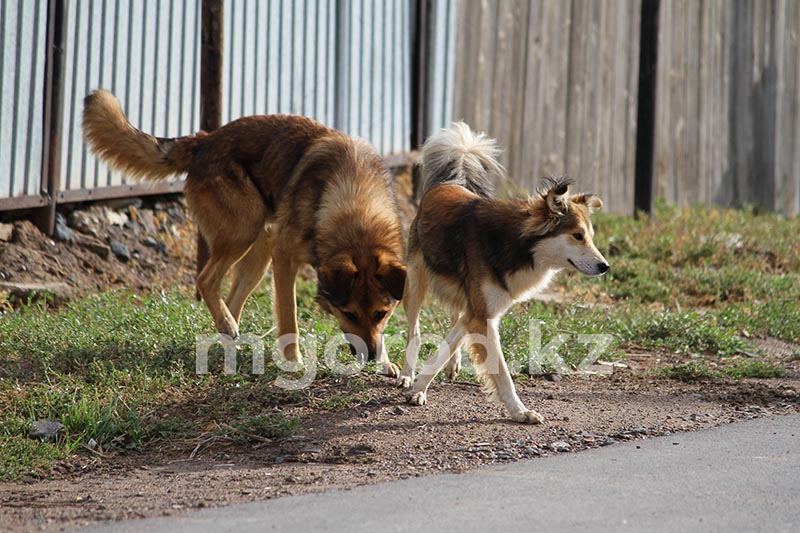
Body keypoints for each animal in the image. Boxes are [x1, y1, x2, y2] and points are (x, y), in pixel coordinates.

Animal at [84, 90, 406, 374]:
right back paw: (228, 326)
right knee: (206, 280)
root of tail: (206, 139)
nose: (370, 357)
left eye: (381, 313)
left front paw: (386, 362)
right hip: (244, 232)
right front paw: (294, 360)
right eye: (349, 313)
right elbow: (289, 318)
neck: (355, 202)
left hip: (259, 255)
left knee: (231, 297)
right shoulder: (284, 257)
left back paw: (229, 338)